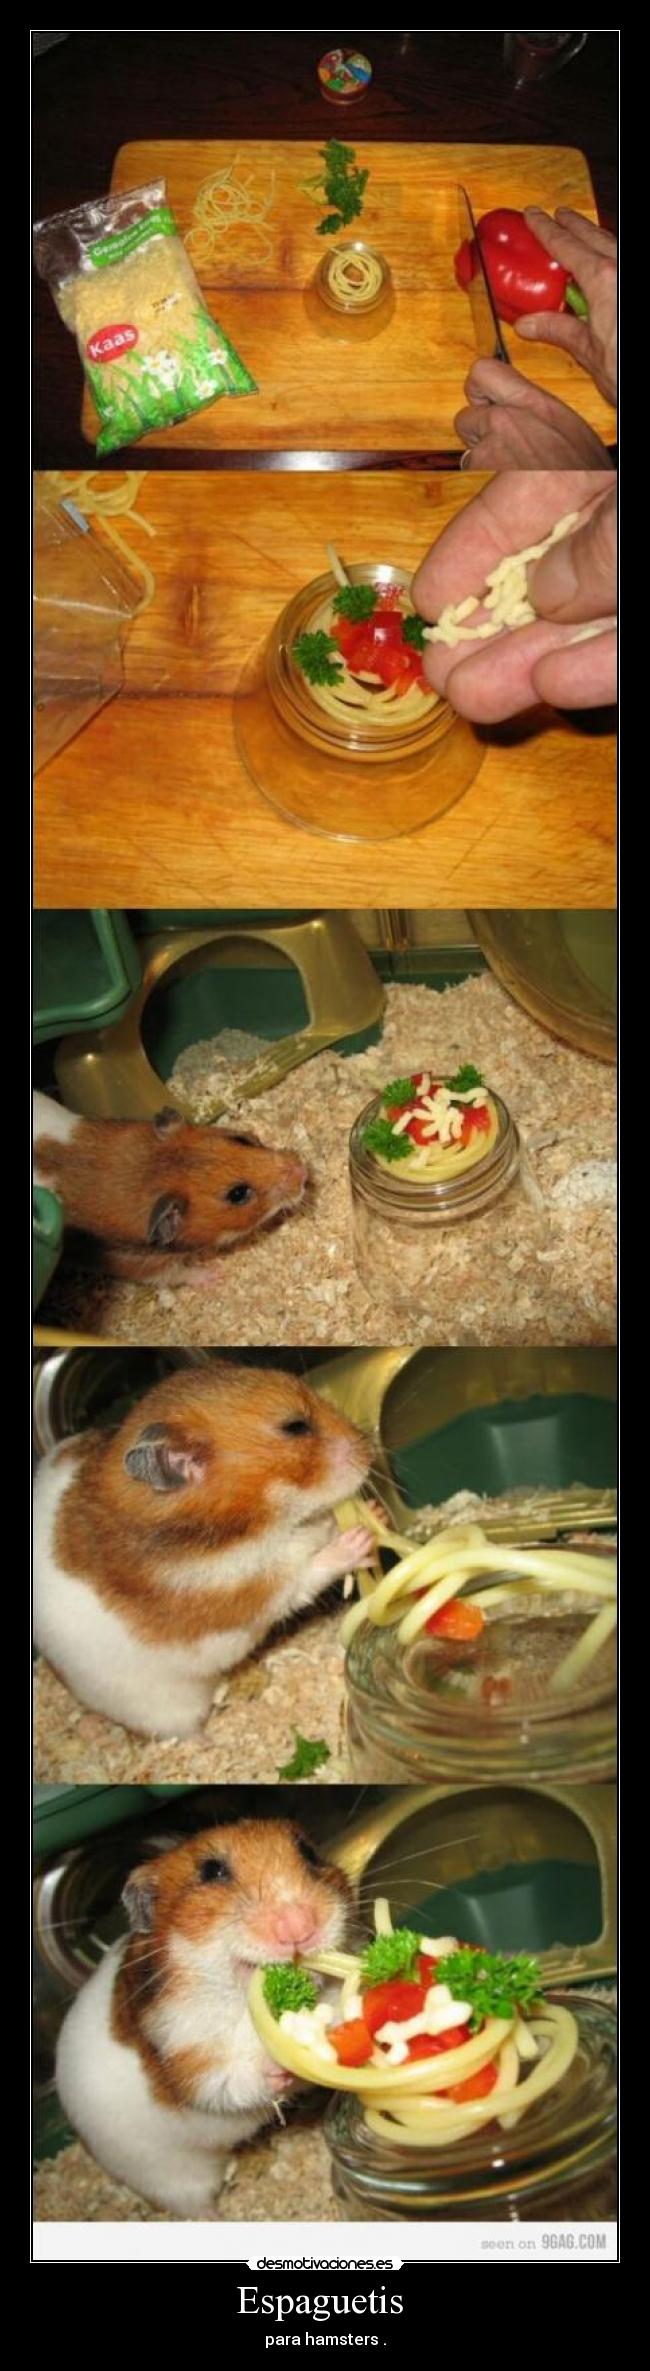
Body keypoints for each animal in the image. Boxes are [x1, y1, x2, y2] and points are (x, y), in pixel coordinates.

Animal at [33, 1091, 308, 1284]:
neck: (143, 1173)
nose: (303, 1171)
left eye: (241, 1139)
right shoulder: (133, 1262)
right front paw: (216, 1275)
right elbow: (175, 1274)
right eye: (238, 1194)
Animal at [33, 1361, 374, 1736]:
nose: (370, 1448)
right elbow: (309, 1569)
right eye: (295, 1426)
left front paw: (375, 1514)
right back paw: (206, 1738)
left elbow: (317, 1531)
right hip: (167, 1709)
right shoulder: (251, 1588)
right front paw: (358, 1540)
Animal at [56, 1819, 353, 2217]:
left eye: (308, 1852)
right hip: (173, 2181)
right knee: (197, 2208)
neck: (242, 2000)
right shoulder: (187, 2058)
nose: (300, 1925)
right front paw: (278, 2064)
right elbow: (234, 2080)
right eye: (212, 1871)